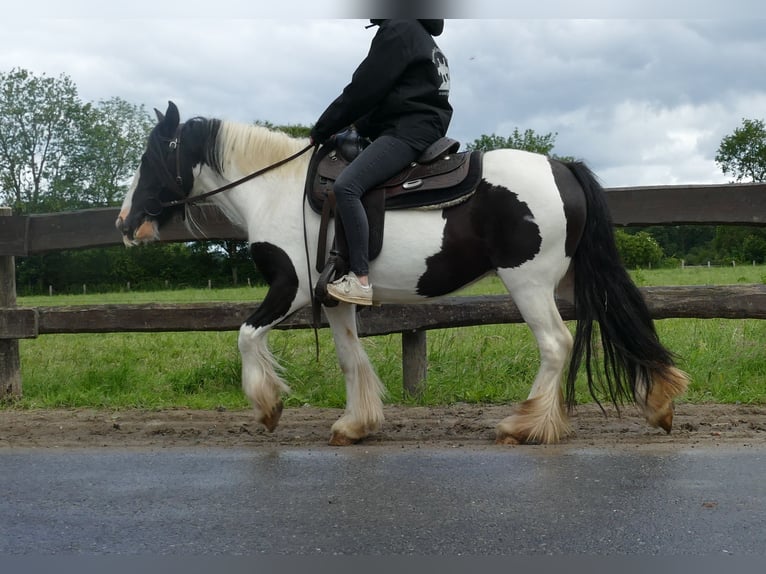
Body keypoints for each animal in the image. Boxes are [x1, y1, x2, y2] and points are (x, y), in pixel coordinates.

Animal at [117, 101, 692, 448]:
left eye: (150, 156)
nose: (125, 224)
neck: (275, 190)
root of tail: (562, 166)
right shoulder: (334, 299)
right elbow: (350, 358)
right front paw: (355, 425)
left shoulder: (290, 288)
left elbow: (244, 335)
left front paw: (268, 408)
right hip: (573, 277)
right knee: (623, 320)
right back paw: (658, 403)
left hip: (527, 282)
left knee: (556, 344)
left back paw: (524, 424)